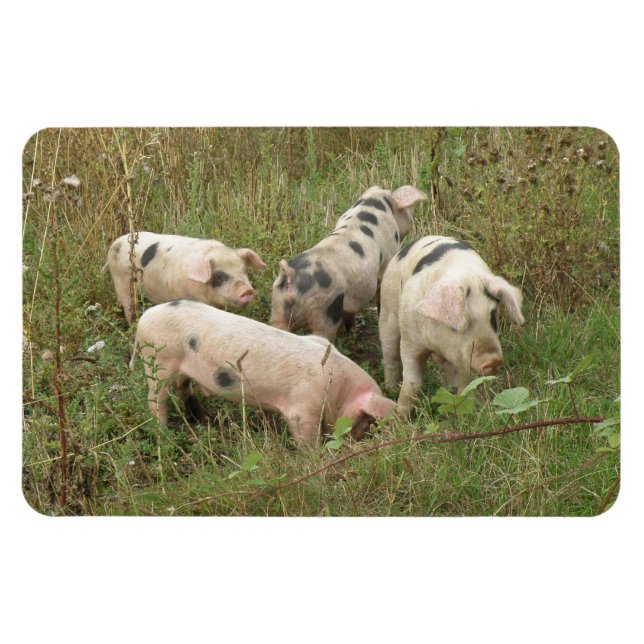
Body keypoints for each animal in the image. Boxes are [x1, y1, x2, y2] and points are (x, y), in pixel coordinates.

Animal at [104, 232, 267, 324]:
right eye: (219, 275)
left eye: (244, 270)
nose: (247, 291)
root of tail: (116, 242)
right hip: (120, 280)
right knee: (128, 306)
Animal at [130, 299, 395, 447]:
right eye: (366, 419)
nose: (353, 443)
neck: (338, 387)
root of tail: (144, 317)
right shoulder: (303, 409)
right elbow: (306, 438)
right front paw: (314, 457)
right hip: (159, 362)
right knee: (156, 399)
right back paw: (164, 433)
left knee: (183, 387)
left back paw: (205, 419)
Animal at [270, 185, 427, 342]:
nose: (412, 218)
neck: (374, 204)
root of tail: (290, 275)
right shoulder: (388, 256)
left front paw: (350, 330)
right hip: (325, 310)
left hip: (278, 307)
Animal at [379, 235, 524, 413]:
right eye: (455, 326)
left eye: (493, 317)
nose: (492, 361)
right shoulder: (410, 340)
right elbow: (412, 382)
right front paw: (398, 415)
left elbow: (466, 385)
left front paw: (463, 411)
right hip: (388, 308)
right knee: (390, 355)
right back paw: (390, 389)